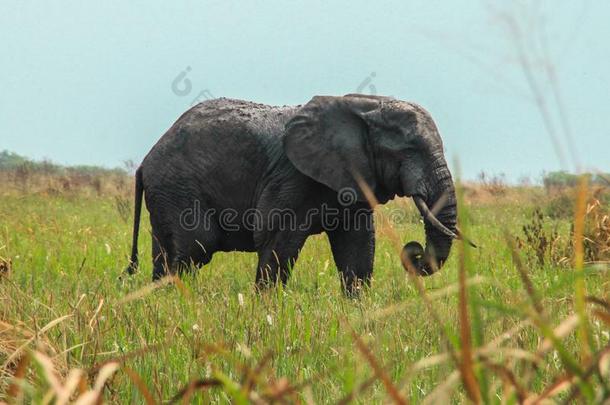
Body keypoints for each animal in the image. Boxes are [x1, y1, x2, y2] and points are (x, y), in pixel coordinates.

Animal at [123, 95, 456, 296]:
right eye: (409, 150)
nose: (413, 250)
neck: (359, 106)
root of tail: (145, 162)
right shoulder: (291, 177)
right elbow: (276, 239)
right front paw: (266, 308)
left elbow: (358, 244)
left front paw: (358, 310)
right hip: (178, 188)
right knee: (195, 246)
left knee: (167, 254)